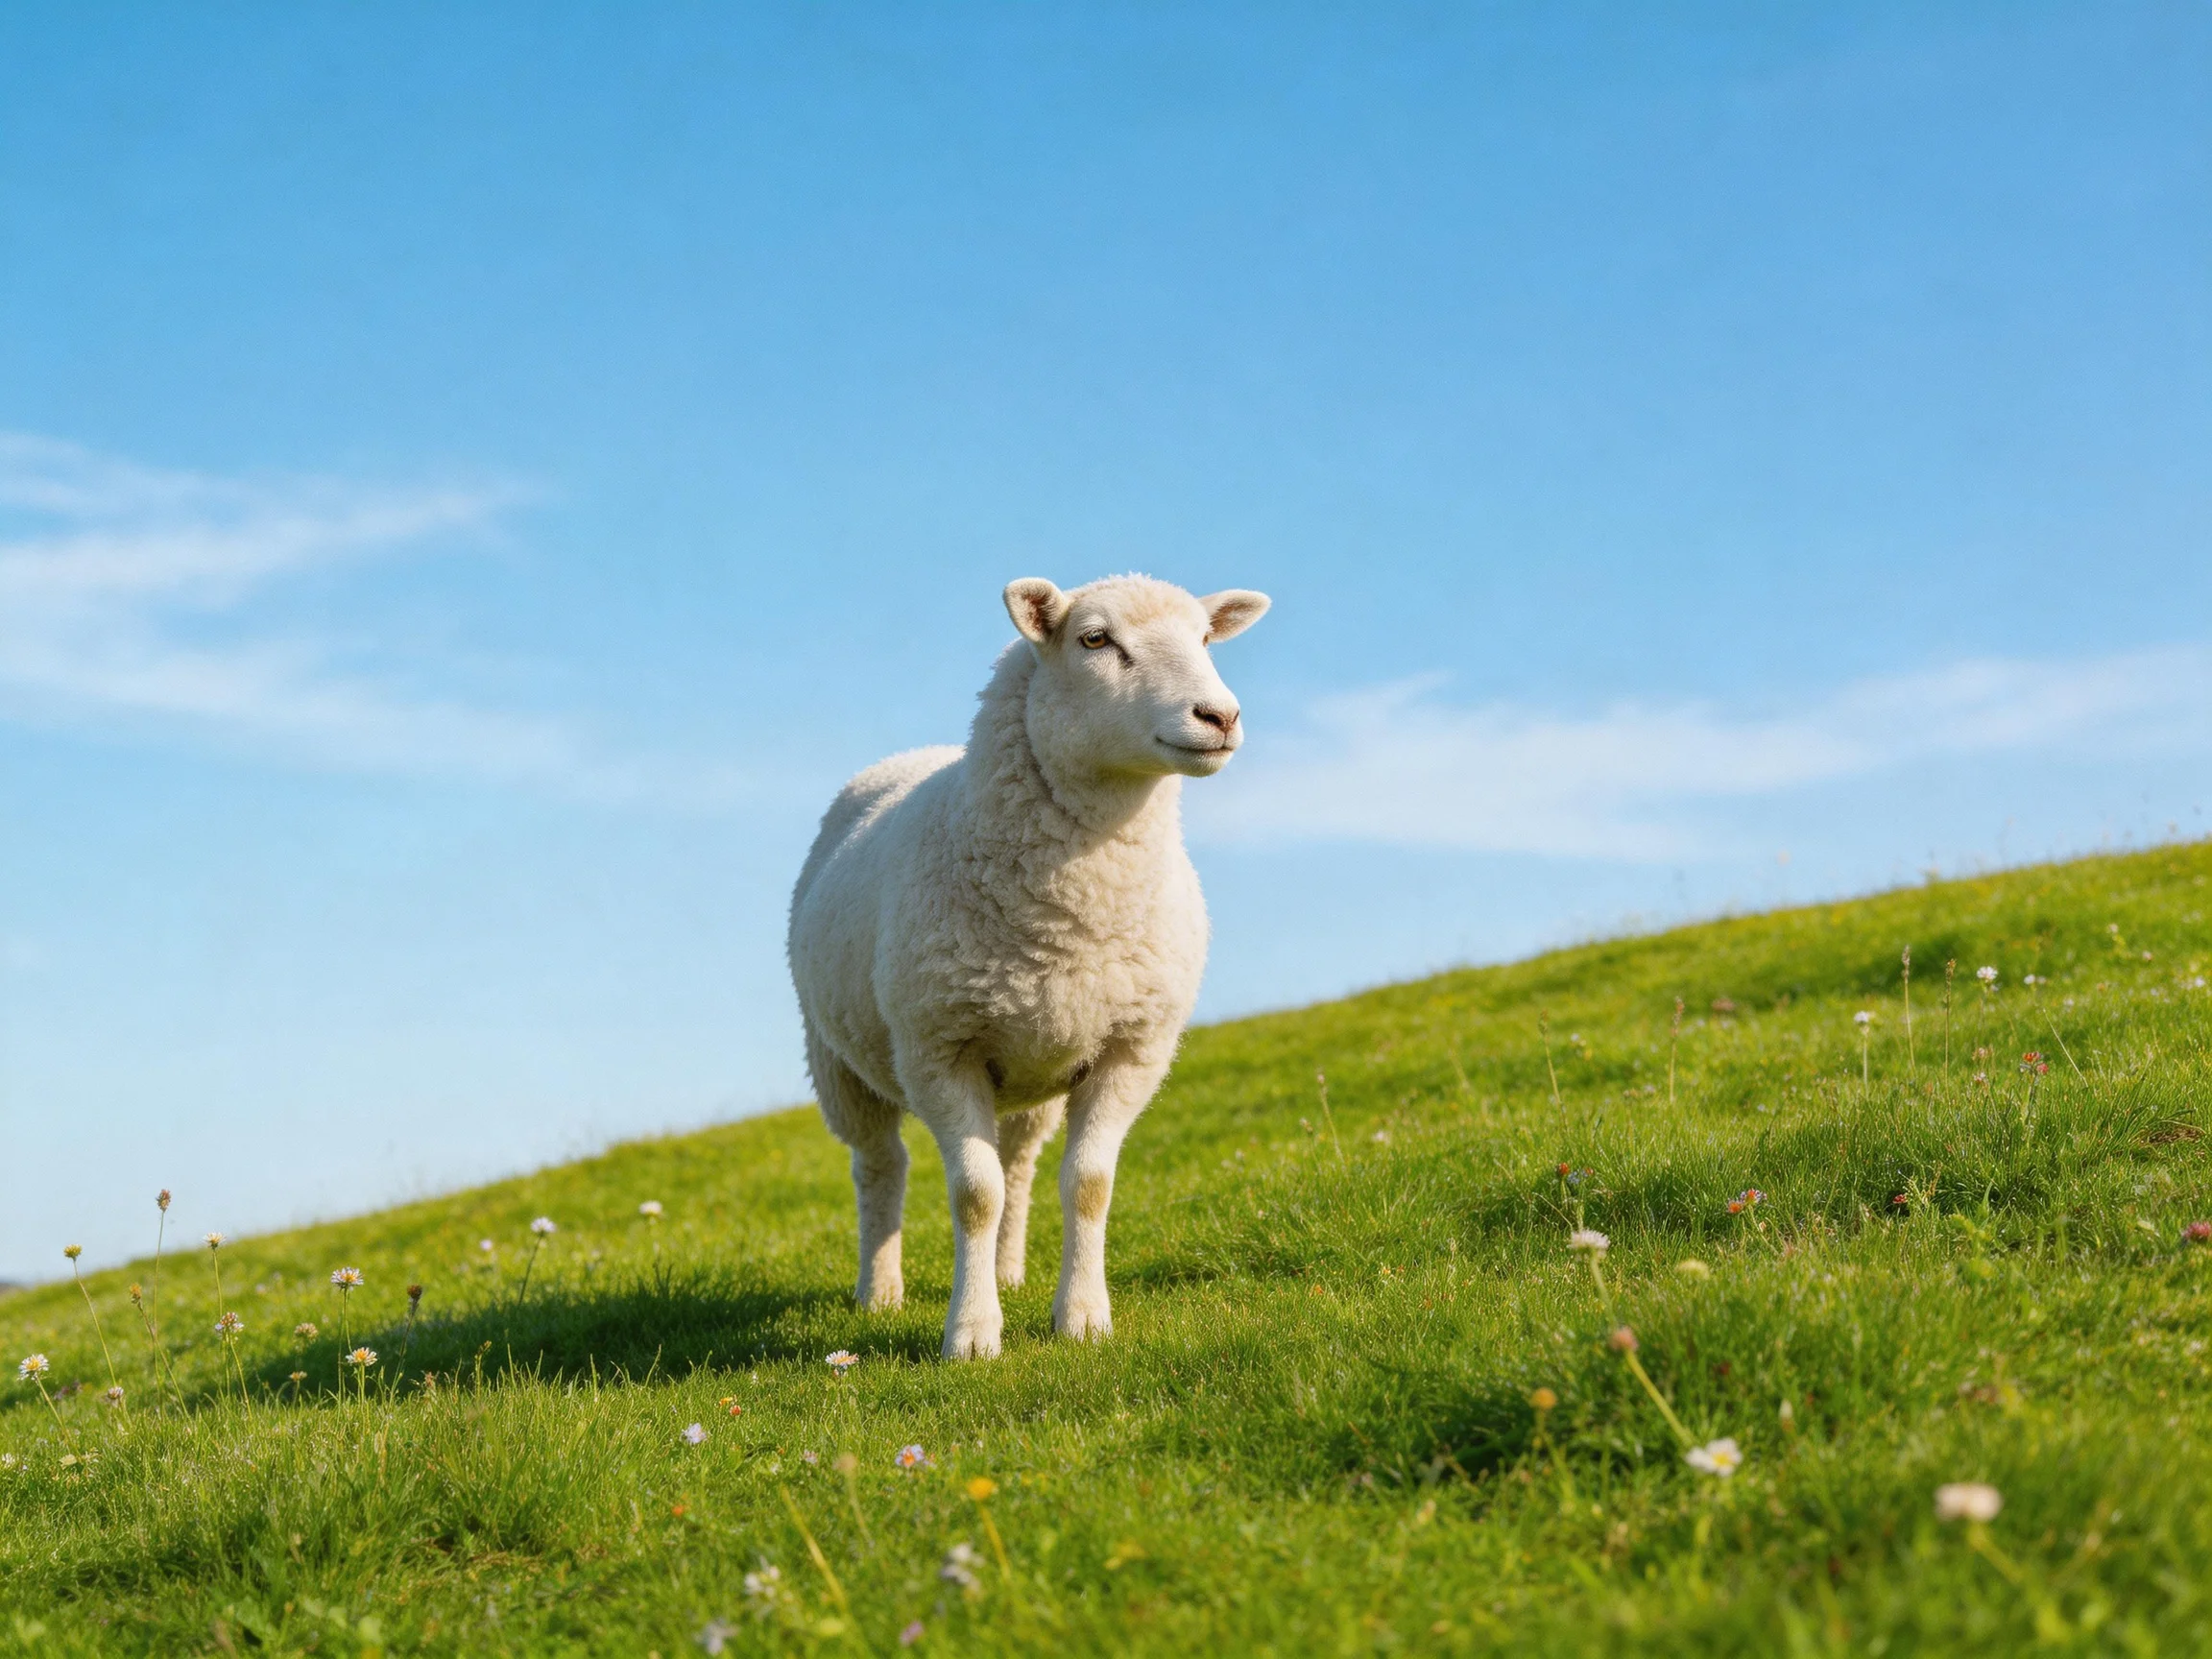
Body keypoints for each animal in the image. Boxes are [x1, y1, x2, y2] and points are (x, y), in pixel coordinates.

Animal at [787, 573, 1271, 1358]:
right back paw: (879, 1292)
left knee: (1018, 1163)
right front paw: (972, 1333)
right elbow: (973, 1195)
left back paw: (1009, 1274)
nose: (1219, 716)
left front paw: (1081, 1316)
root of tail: (916, 754)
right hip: (837, 1062)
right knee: (880, 1166)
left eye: (1205, 638)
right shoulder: (939, 1050)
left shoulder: (1131, 1047)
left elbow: (1088, 1184)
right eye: (1095, 640)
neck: (1073, 918)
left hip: (1035, 1063)